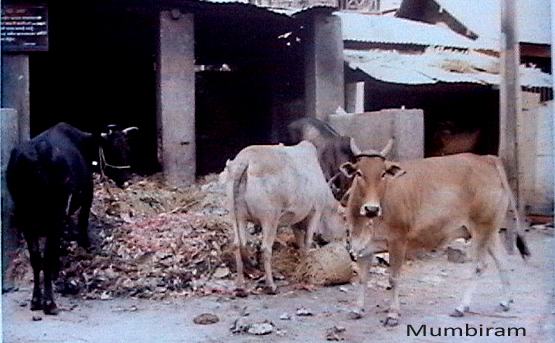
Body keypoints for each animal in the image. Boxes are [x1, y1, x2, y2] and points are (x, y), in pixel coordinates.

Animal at [6, 122, 138, 316]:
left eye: (127, 147)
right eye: (112, 150)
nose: (127, 180)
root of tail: (40, 152)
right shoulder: (87, 195)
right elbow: (82, 222)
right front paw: (85, 245)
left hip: (25, 215)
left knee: (36, 257)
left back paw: (36, 300)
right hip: (54, 212)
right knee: (46, 256)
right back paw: (49, 303)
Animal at [340, 145, 532, 328]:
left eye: (382, 174)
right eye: (359, 173)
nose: (371, 209)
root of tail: (487, 159)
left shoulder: (398, 241)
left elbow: (393, 278)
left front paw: (392, 315)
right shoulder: (363, 246)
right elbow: (363, 278)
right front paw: (357, 310)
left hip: (481, 228)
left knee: (479, 266)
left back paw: (461, 307)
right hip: (491, 230)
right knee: (502, 261)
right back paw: (505, 301)